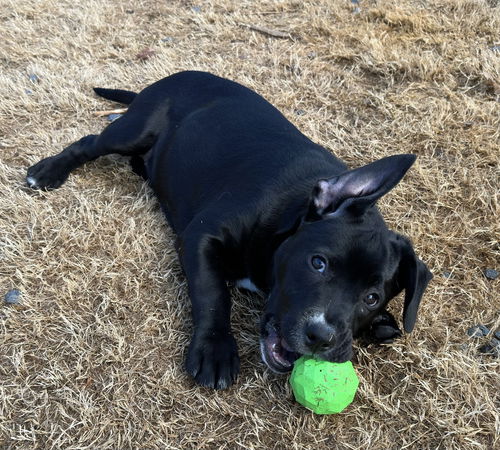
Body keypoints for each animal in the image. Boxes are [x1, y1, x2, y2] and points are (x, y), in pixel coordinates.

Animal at [27, 72, 432, 388]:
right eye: (317, 263)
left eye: (372, 298)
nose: (321, 337)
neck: (287, 212)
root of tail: (170, 77)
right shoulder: (201, 237)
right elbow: (212, 293)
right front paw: (214, 348)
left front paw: (380, 324)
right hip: (133, 129)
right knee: (91, 143)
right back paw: (48, 171)